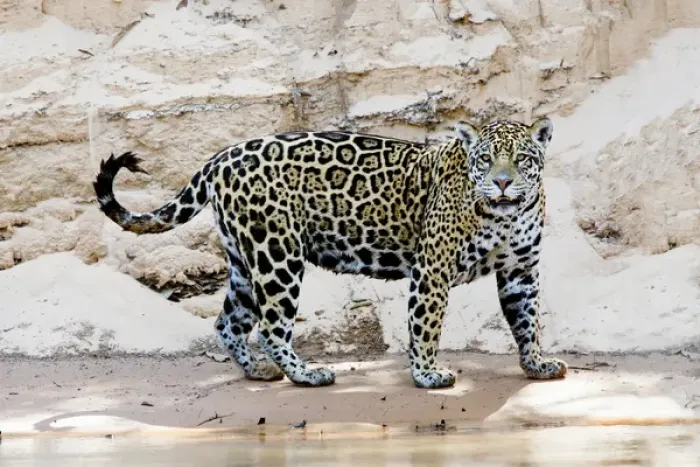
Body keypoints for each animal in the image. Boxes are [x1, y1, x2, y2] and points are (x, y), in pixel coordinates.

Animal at [93, 117, 568, 389]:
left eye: (523, 160)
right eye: (485, 160)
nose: (503, 183)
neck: (504, 215)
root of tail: (222, 157)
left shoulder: (521, 270)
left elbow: (527, 320)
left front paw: (537, 364)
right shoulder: (432, 269)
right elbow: (426, 326)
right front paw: (427, 373)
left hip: (245, 261)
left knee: (229, 321)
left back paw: (258, 372)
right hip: (277, 255)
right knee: (271, 326)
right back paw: (306, 374)